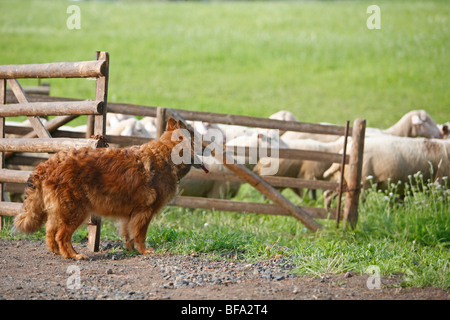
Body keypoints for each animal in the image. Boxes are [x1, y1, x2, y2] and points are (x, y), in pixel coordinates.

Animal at [14, 117, 207, 260]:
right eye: (197, 140)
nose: (209, 147)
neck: (167, 155)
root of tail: (48, 164)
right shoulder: (145, 212)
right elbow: (140, 234)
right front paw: (144, 251)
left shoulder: (130, 214)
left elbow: (128, 233)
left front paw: (130, 249)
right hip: (76, 211)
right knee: (62, 236)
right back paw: (73, 255)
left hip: (60, 211)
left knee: (50, 232)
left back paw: (57, 252)